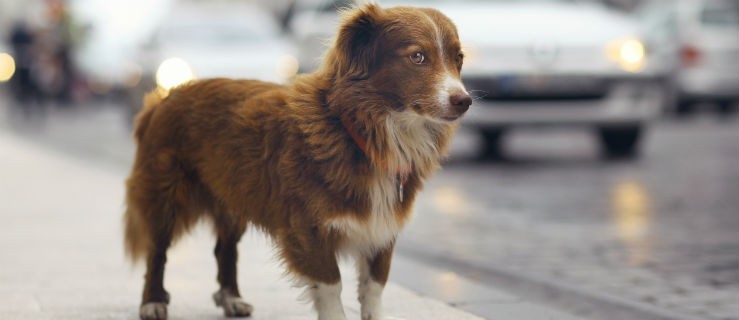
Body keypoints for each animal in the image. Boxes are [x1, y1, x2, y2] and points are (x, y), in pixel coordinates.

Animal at [124, 3, 472, 320]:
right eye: (418, 56)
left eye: (458, 59)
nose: (465, 101)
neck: (362, 132)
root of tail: (164, 98)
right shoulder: (309, 229)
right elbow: (331, 288)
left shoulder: (381, 230)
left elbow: (374, 288)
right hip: (165, 195)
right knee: (157, 252)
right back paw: (152, 303)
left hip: (232, 197)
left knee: (225, 249)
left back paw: (232, 299)